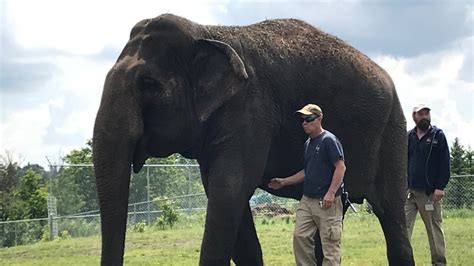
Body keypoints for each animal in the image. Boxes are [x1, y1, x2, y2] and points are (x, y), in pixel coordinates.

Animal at [93, 13, 414, 264]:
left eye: (148, 84)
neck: (207, 32)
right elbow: (225, 197)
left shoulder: (251, 109)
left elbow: (229, 190)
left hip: (393, 130)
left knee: (392, 215)